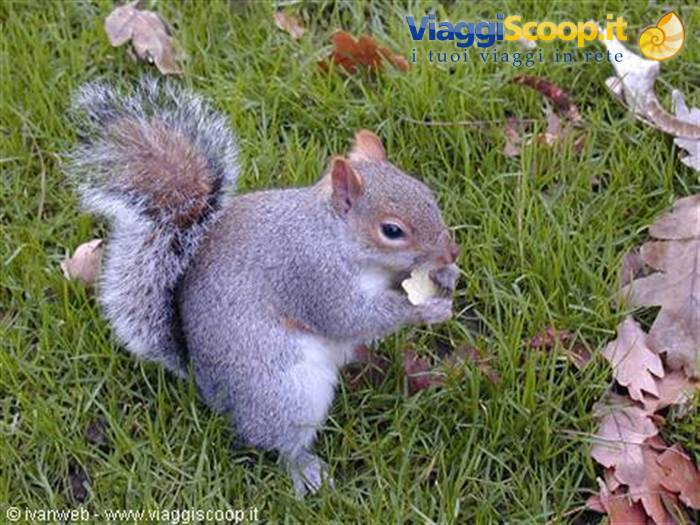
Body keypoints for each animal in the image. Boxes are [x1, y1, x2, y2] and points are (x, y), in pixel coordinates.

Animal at [67, 78, 460, 496]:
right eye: (391, 230)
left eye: (428, 194)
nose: (452, 250)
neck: (336, 238)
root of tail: (207, 388)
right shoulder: (311, 274)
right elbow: (347, 316)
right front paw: (424, 309)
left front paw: (446, 276)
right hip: (285, 393)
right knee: (280, 440)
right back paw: (306, 470)